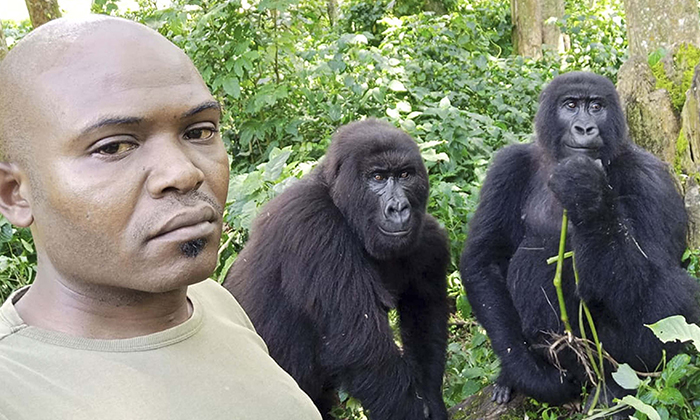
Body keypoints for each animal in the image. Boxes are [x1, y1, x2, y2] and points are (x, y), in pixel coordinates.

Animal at [227, 118, 452, 420]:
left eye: (405, 175)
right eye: (377, 178)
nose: (398, 208)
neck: (338, 202)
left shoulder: (427, 240)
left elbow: (424, 314)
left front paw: (431, 399)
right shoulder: (315, 228)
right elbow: (363, 347)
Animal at [460, 72, 700, 406]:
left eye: (596, 107)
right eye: (571, 105)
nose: (585, 128)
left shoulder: (651, 177)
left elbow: (649, 280)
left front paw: (585, 191)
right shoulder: (507, 166)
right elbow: (485, 261)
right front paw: (525, 372)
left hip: (603, 360)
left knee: (675, 298)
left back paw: (617, 392)